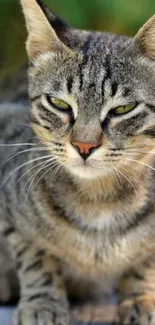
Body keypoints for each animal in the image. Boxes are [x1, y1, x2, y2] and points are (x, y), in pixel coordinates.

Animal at [0, 0, 155, 322]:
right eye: (59, 104)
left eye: (123, 109)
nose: (84, 145)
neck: (99, 200)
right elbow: (34, 255)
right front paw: (43, 303)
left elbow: (145, 259)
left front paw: (140, 296)